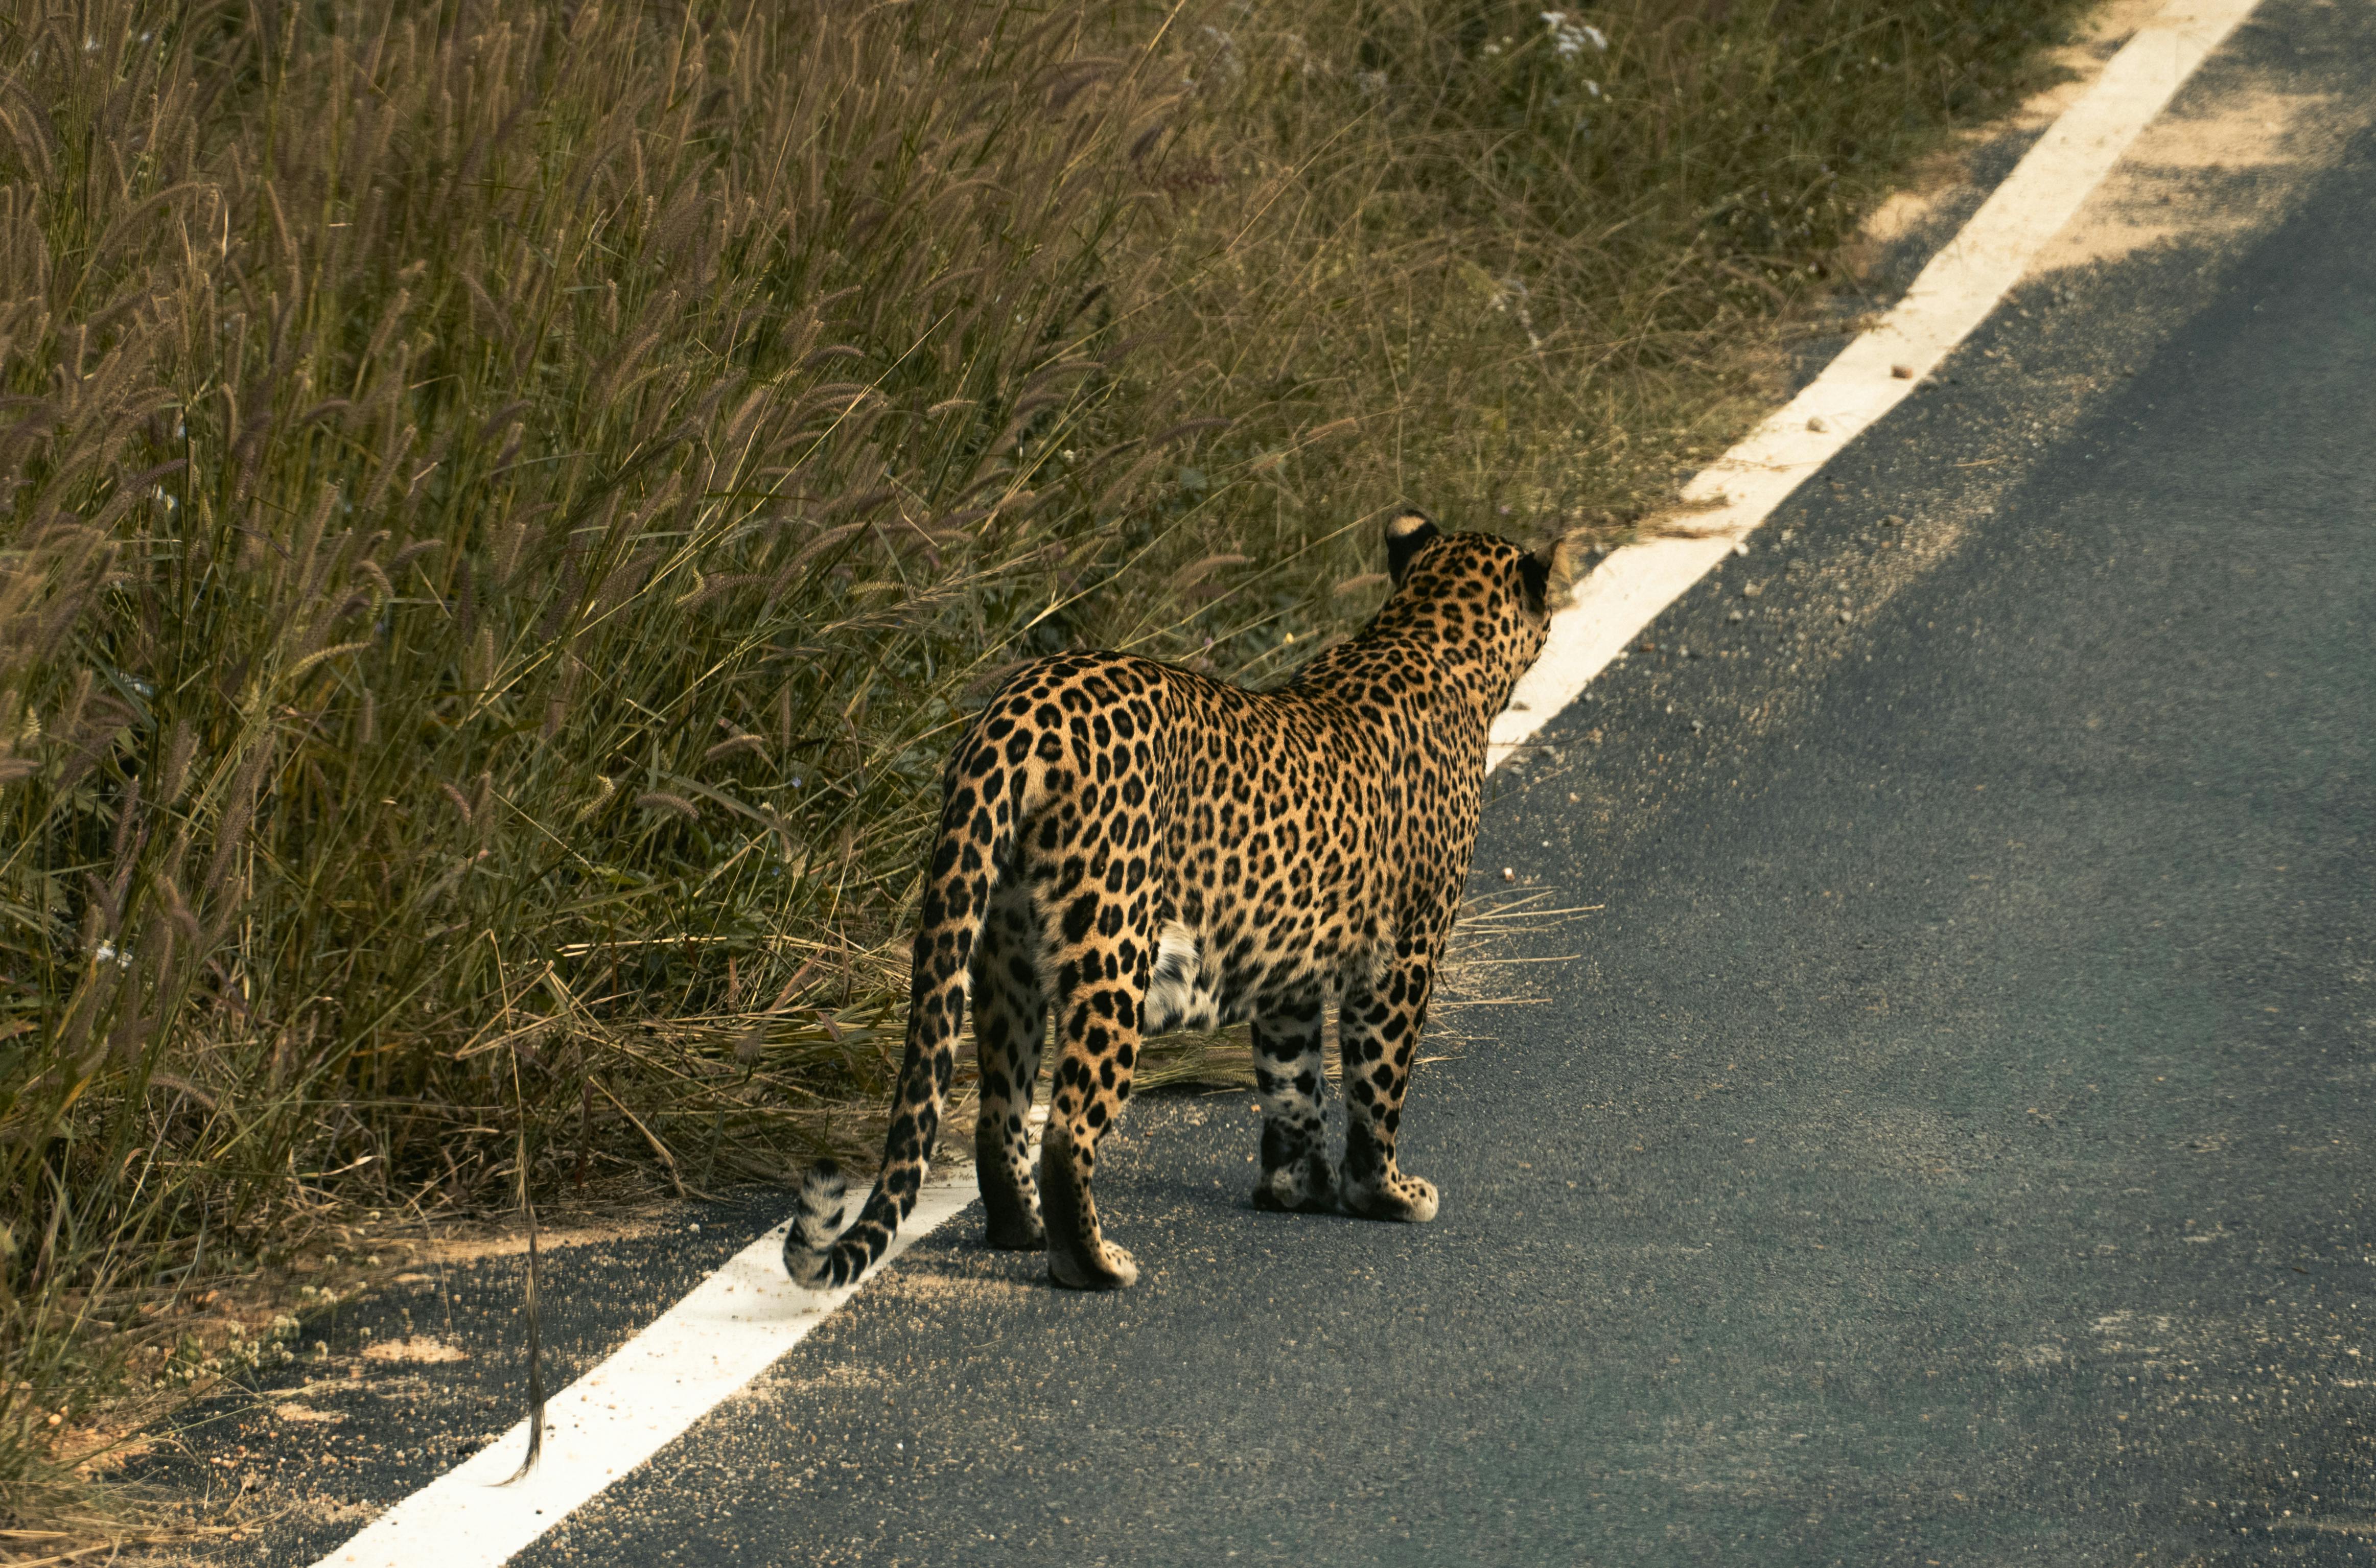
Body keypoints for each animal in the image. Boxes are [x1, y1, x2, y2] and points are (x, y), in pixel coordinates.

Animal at [779, 508, 1568, 1292]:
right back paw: (1094, 1264)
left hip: (1002, 952)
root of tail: (1015, 717)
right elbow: (1378, 1082)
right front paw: (1385, 1194)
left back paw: (1020, 1231)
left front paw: (1293, 1188)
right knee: (1067, 1127)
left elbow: (1292, 1081)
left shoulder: (1289, 964)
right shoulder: (1406, 953)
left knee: (1000, 1107)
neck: (1424, 632)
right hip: (1112, 946)